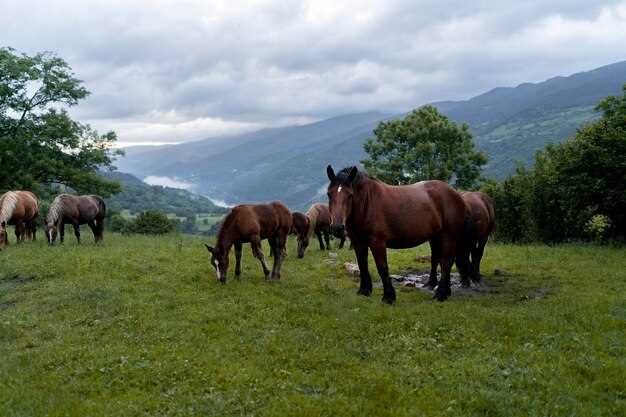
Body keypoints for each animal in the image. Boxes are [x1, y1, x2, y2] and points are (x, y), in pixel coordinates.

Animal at [326, 165, 468, 302]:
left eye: (350, 195)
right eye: (329, 194)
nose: (337, 227)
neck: (367, 203)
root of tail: (456, 194)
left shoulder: (377, 243)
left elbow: (382, 267)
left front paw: (388, 297)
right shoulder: (358, 242)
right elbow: (362, 265)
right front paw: (364, 291)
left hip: (448, 236)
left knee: (446, 262)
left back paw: (440, 294)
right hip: (437, 237)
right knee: (444, 261)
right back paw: (446, 291)